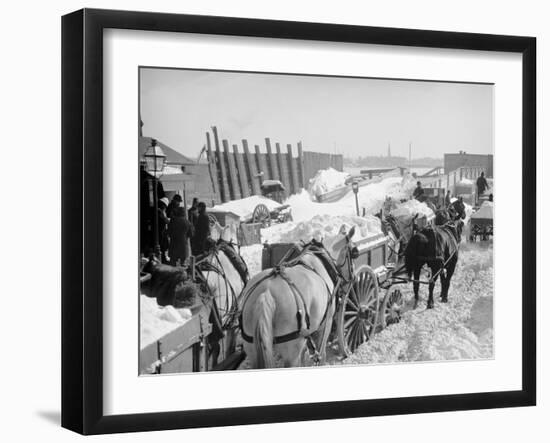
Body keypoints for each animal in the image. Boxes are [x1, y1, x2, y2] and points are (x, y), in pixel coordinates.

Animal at [242, 227, 358, 370]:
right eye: (355, 252)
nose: (353, 278)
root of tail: (266, 293)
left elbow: (303, 356)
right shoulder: (326, 324)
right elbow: (322, 354)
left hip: (252, 348)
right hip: (291, 351)